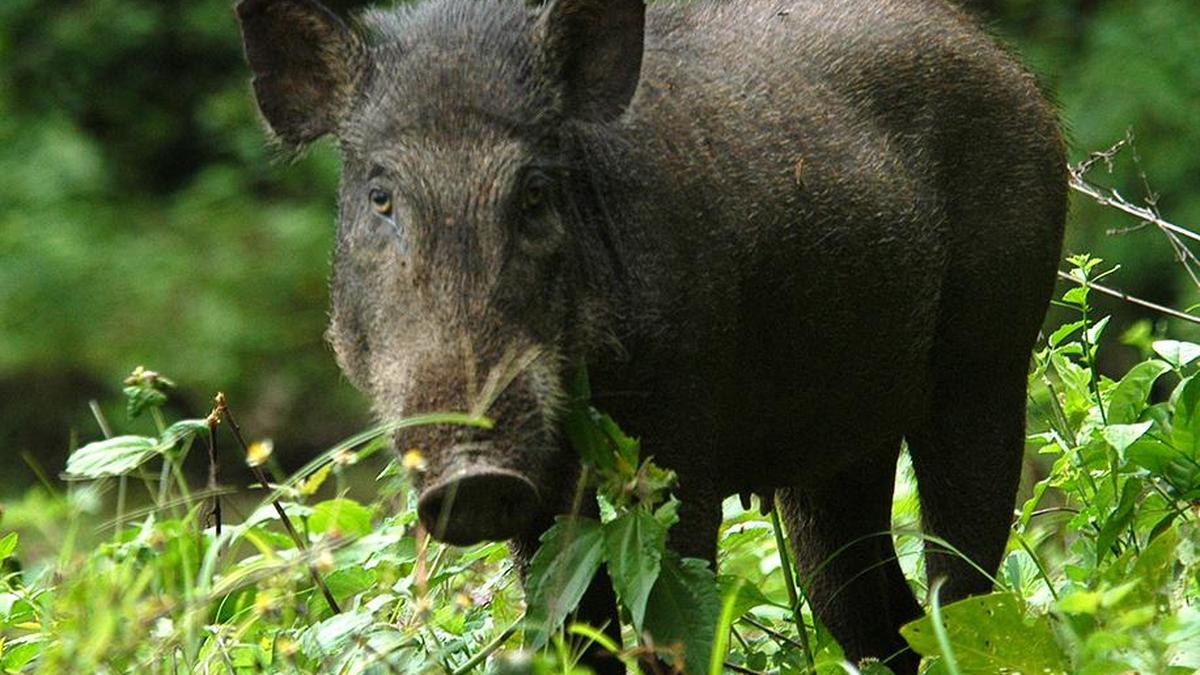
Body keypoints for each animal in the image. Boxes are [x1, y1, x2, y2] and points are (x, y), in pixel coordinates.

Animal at [237, 0, 1067, 671]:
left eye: (533, 193)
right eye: (381, 195)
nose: (472, 475)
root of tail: (1018, 74)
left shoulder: (682, 438)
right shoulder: (543, 500)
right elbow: (575, 629)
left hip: (991, 361)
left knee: (962, 585)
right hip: (837, 450)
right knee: (874, 611)